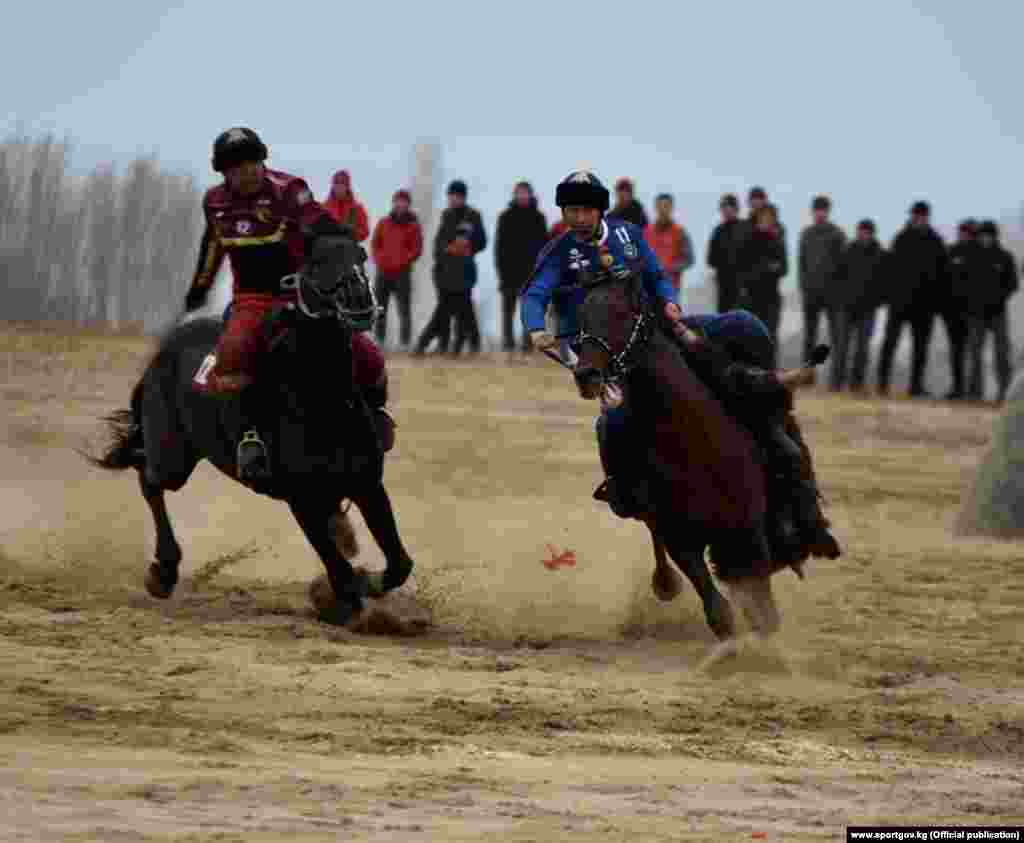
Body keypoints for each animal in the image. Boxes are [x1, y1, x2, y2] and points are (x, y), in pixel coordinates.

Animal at [88, 234, 413, 622]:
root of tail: (163, 351)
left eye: (361, 255)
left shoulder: (367, 483)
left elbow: (398, 563)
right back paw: (163, 571)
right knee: (149, 479)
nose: (359, 301)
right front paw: (341, 594)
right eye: (317, 262)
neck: (321, 398)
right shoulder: (302, 499)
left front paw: (366, 580)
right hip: (172, 454)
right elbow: (340, 571)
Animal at [573, 274, 811, 663]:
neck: (688, 436)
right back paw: (665, 584)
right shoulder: (679, 536)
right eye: (582, 317)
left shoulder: (746, 526)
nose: (586, 374)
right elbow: (718, 608)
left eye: (621, 314)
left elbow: (761, 606)